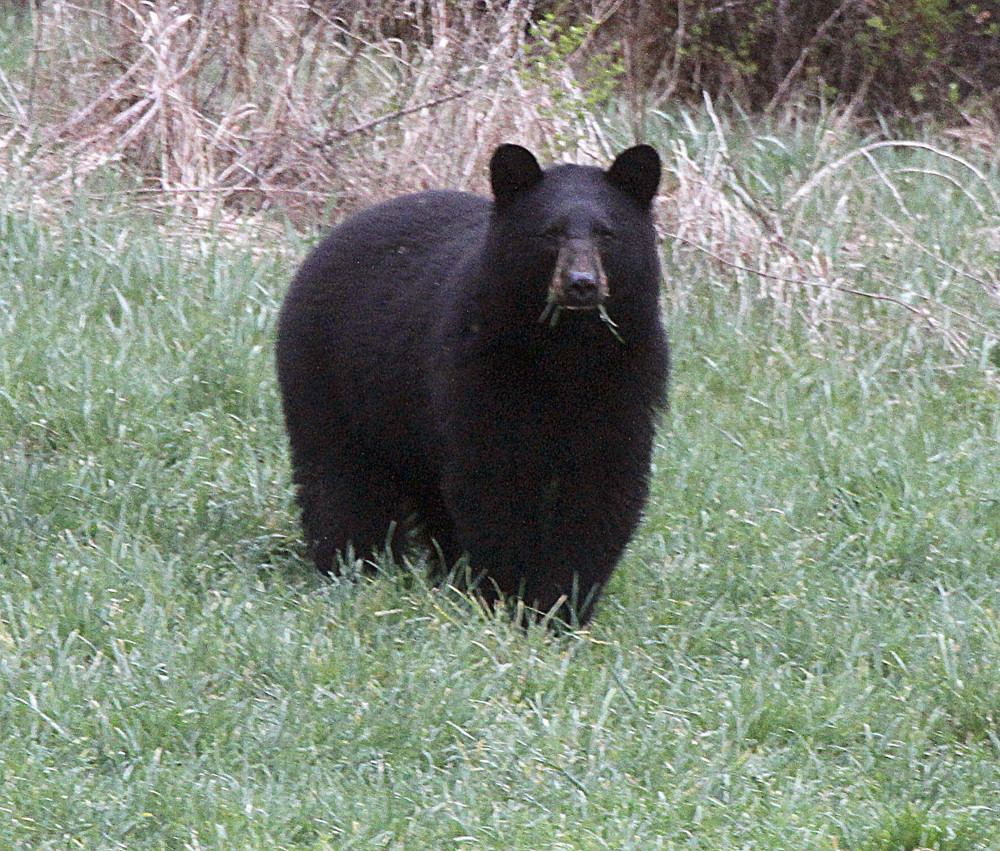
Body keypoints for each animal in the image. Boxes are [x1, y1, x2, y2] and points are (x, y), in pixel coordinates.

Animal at [275, 143, 669, 625]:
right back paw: (354, 565)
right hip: (329, 375)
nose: (581, 284)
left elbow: (601, 492)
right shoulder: (479, 371)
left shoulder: (626, 381)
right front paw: (506, 597)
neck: (565, 353)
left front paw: (561, 608)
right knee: (339, 477)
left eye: (607, 234)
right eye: (550, 233)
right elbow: (491, 484)